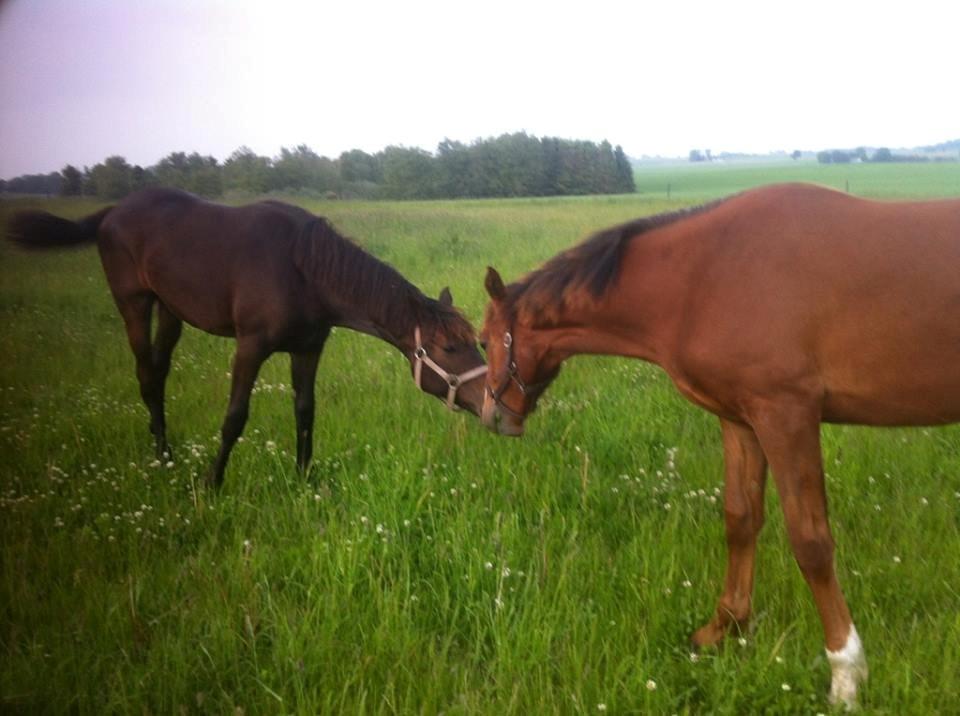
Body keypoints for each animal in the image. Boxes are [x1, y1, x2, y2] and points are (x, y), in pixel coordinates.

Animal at [7, 186, 488, 486]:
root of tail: (112, 211)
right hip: (135, 303)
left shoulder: (309, 348)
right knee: (145, 376)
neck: (302, 269)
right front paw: (212, 482)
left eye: (477, 343)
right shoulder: (251, 347)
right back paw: (163, 457)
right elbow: (235, 416)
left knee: (158, 375)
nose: (491, 404)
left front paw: (304, 477)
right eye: (450, 348)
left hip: (170, 310)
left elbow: (305, 411)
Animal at [478, 182, 960, 708]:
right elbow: (740, 519)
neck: (703, 276)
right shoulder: (741, 419)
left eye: (483, 341)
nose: (492, 417)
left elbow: (811, 542)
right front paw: (724, 628)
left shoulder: (786, 413)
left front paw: (846, 673)